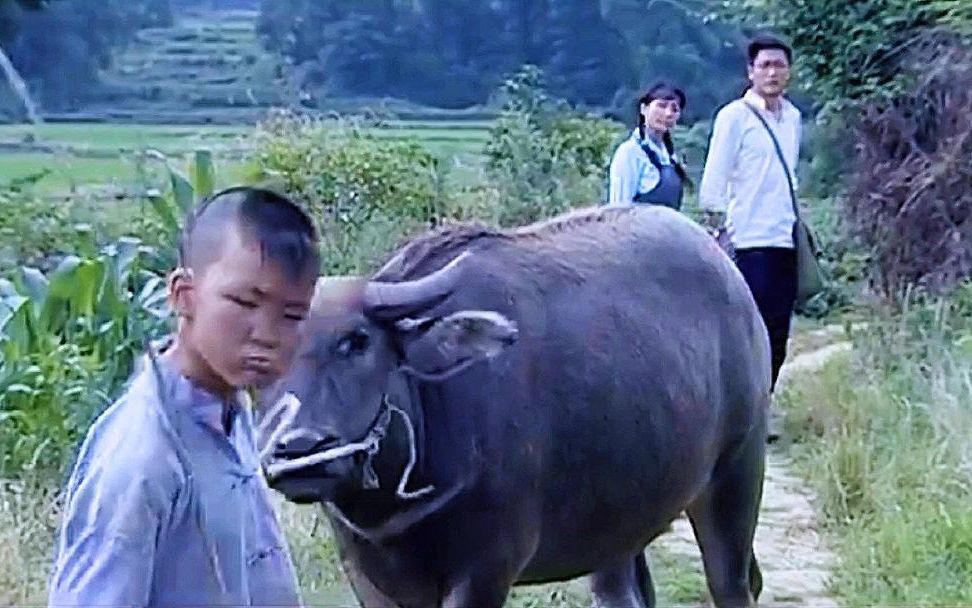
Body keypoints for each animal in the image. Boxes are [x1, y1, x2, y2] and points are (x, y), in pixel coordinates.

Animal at [258, 205, 768, 608]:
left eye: (357, 341)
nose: (299, 447)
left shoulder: (485, 570)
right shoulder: (368, 577)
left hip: (736, 475)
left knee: (733, 585)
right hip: (621, 519)